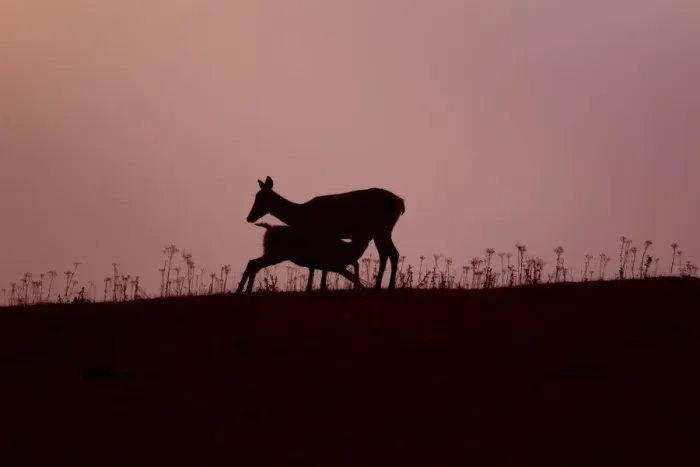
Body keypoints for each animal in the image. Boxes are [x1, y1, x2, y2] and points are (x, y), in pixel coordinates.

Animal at [235, 222, 371, 294]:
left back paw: (246, 290)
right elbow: (353, 275)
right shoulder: (335, 265)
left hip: (270, 252)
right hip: (276, 254)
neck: (348, 250)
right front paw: (364, 288)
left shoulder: (327, 265)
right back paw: (240, 291)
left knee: (253, 263)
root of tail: (269, 228)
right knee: (253, 263)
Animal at [244, 176, 405, 291]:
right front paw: (318, 286)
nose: (249, 217)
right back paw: (379, 286)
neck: (302, 215)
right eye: (255, 196)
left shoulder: (323, 233)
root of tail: (400, 202)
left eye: (260, 198)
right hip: (382, 230)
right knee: (387, 253)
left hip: (381, 228)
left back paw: (389, 286)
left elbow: (318, 262)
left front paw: (320, 286)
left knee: (392, 253)